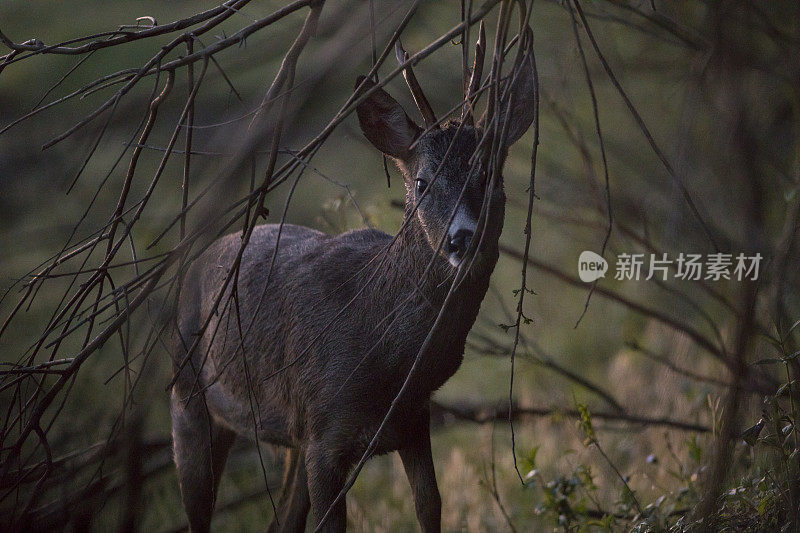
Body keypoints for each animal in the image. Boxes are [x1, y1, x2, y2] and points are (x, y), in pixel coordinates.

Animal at [173, 28, 536, 532]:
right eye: (421, 182)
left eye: (488, 175)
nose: (462, 237)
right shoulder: (325, 436)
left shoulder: (412, 421)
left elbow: (430, 507)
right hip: (188, 395)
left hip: (292, 436)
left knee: (281, 519)